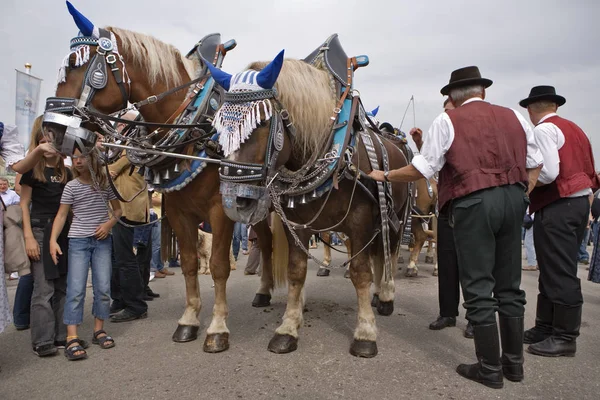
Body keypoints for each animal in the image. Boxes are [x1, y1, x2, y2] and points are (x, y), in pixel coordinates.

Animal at [44, 3, 276, 354]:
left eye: (75, 67)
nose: (52, 130)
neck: (194, 128)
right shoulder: (180, 212)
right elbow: (191, 263)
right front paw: (189, 321)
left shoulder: (221, 210)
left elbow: (218, 266)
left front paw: (217, 328)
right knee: (266, 242)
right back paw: (265, 291)